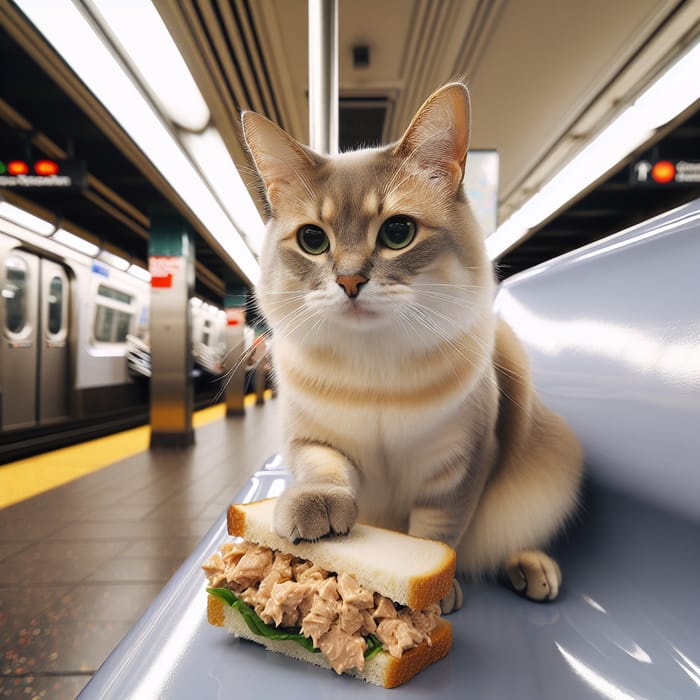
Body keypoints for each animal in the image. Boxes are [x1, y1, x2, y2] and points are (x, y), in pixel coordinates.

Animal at [243, 80, 584, 608]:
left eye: (397, 232)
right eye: (312, 240)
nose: (349, 281)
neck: (374, 369)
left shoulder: (461, 463)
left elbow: (436, 529)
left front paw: (432, 589)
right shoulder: (311, 439)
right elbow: (323, 471)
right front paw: (315, 509)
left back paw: (532, 569)